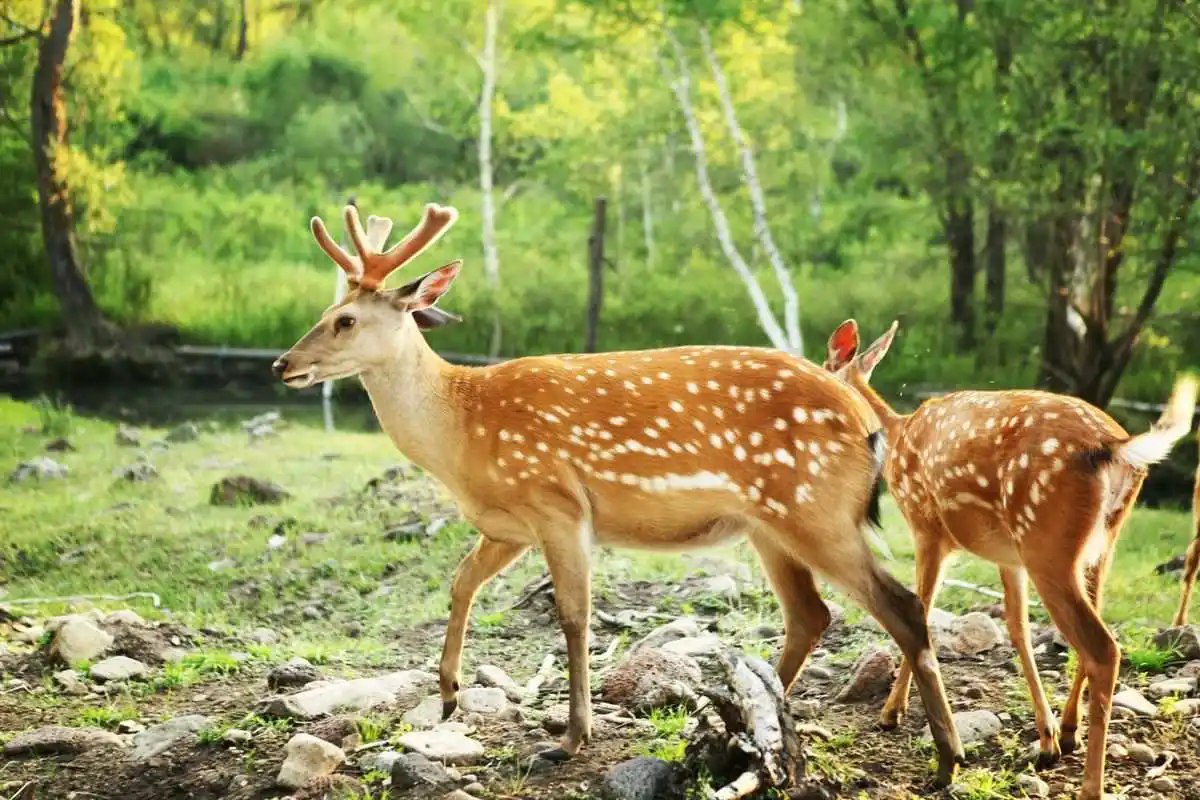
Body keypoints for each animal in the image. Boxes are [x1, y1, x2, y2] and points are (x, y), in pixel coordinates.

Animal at [272, 203, 964, 786]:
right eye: (326, 312)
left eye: (344, 320)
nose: (283, 363)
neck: (460, 429)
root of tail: (869, 421)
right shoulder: (507, 524)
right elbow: (462, 581)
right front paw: (447, 692)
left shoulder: (557, 502)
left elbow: (573, 616)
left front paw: (570, 737)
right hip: (770, 525)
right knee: (811, 615)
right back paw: (751, 721)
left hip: (815, 507)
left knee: (901, 606)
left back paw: (946, 759)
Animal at [825, 319, 1200, 800]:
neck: (896, 440)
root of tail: (1114, 445)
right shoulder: (1007, 556)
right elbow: (1017, 628)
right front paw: (1046, 737)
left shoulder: (927, 528)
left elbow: (920, 612)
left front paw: (891, 713)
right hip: (1096, 543)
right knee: (1094, 628)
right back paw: (1069, 730)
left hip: (1047, 542)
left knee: (1103, 647)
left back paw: (1090, 784)